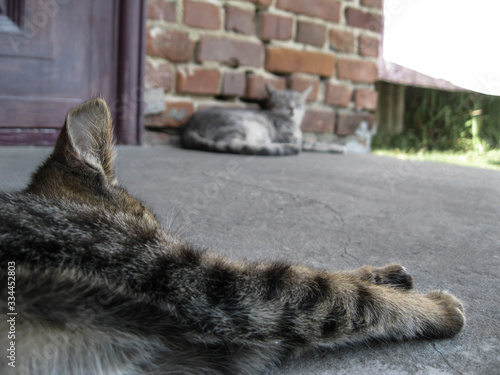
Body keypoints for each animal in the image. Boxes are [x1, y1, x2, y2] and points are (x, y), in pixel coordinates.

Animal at [0, 98, 464, 374]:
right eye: (147, 219)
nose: (156, 230)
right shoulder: (216, 297)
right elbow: (337, 293)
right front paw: (431, 307)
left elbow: (334, 282)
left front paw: (385, 275)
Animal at [182, 84, 346, 156]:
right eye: (283, 102)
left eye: (298, 103)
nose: (292, 108)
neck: (294, 123)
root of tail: (188, 127)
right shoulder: (287, 135)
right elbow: (316, 143)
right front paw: (338, 146)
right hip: (238, 126)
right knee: (239, 145)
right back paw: (287, 147)